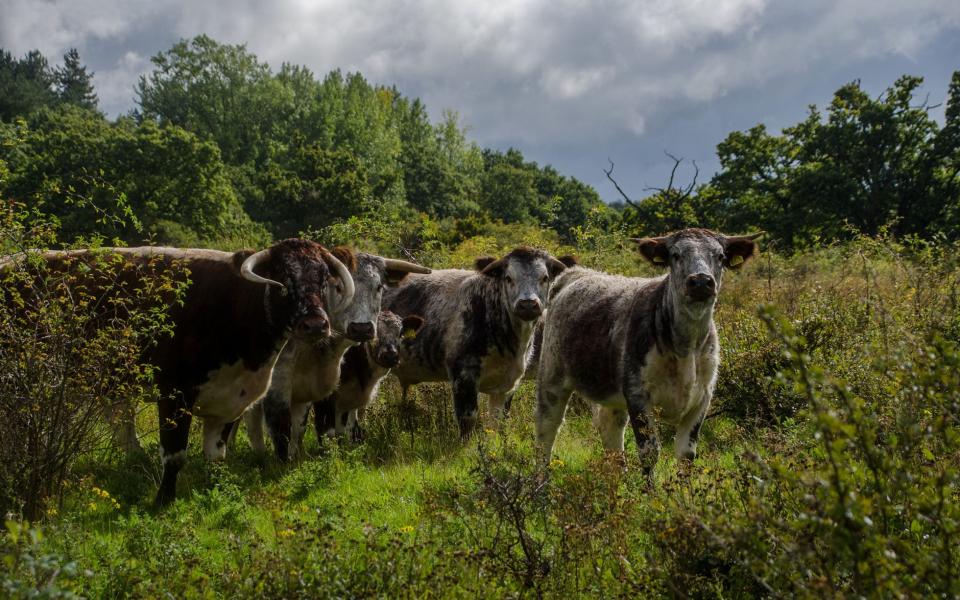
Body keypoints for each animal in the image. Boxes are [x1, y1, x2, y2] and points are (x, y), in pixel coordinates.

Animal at [386, 245, 572, 436]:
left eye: (545, 278)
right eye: (508, 278)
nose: (527, 304)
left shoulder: (507, 384)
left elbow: (498, 422)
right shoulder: (463, 376)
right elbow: (468, 420)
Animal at [532, 229, 756, 474]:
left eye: (721, 256)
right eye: (675, 255)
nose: (700, 281)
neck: (686, 346)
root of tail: (577, 273)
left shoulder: (702, 399)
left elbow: (686, 455)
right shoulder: (637, 395)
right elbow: (649, 452)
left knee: (611, 430)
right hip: (551, 378)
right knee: (546, 431)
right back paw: (540, 478)